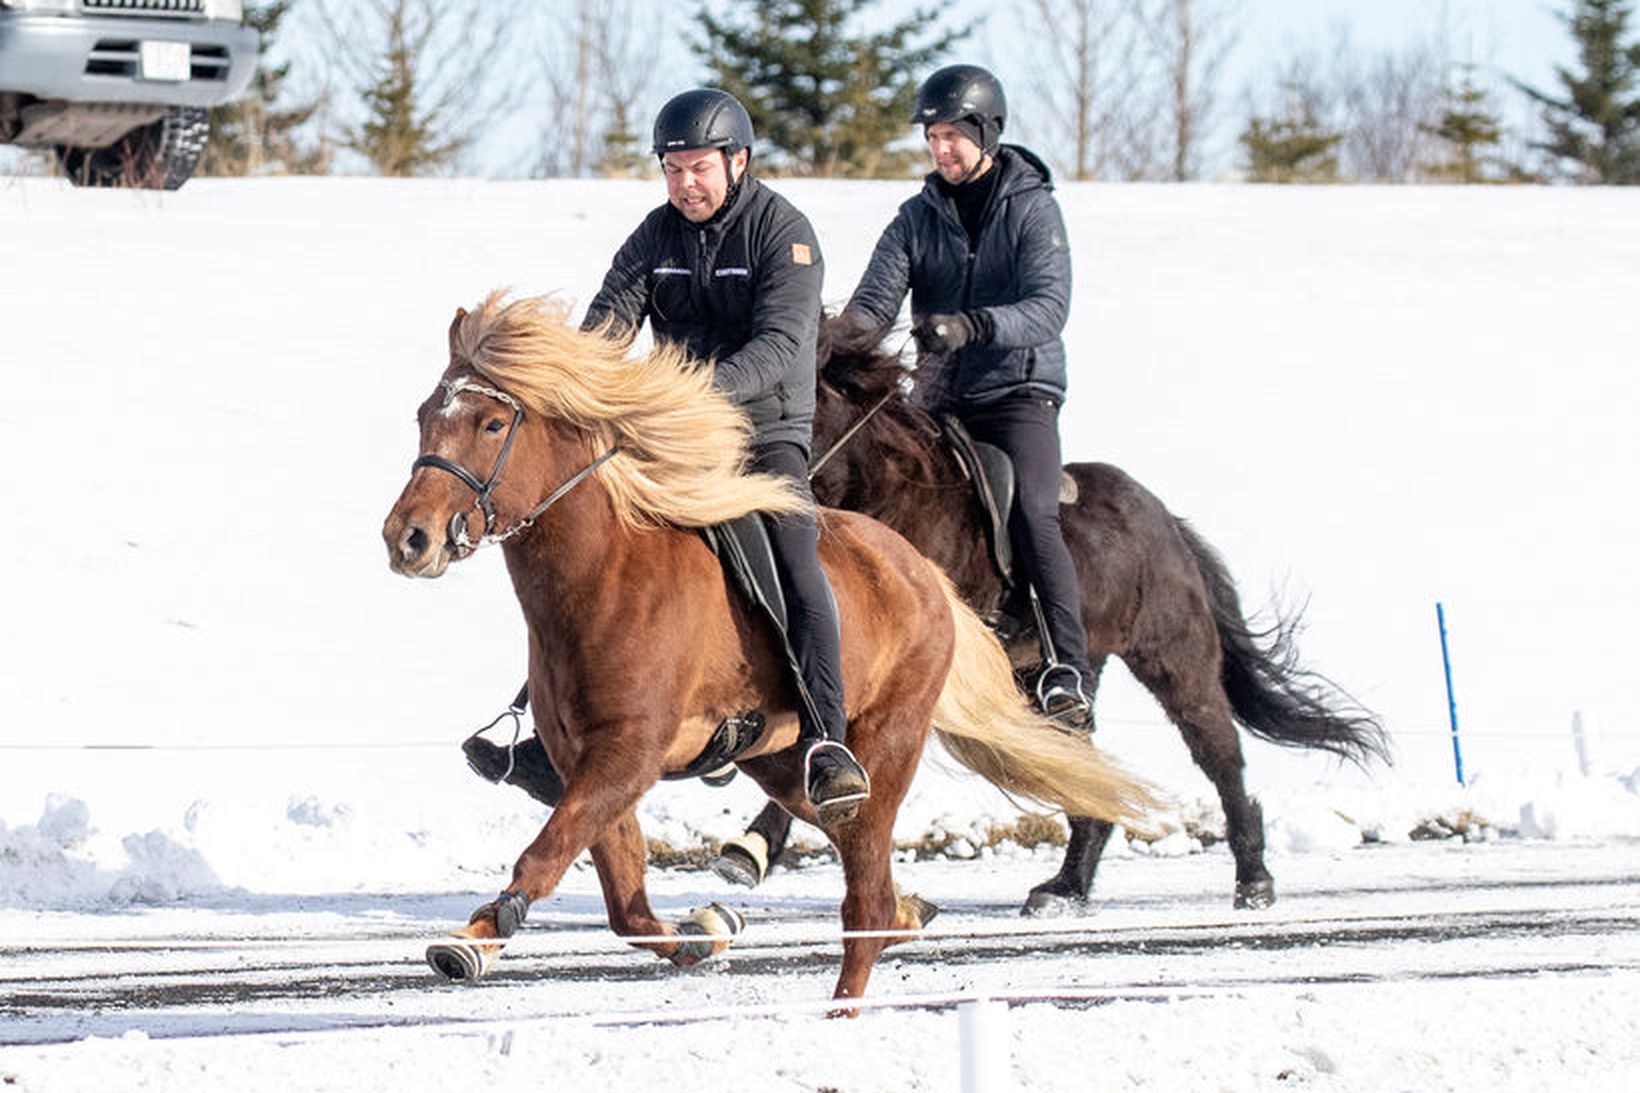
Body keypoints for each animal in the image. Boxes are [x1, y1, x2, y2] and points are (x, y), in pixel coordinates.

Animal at [383, 292, 1154, 1004]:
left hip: (886, 743)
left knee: (866, 897)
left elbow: (545, 856)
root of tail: (924, 573)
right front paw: (710, 926)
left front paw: (473, 939)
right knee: (862, 867)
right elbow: (629, 907)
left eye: (491, 421)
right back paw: (905, 911)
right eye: (423, 415)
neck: (608, 576)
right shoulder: (589, 763)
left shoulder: (626, 755)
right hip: (782, 762)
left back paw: (845, 1009)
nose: (408, 538)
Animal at [718, 315, 1384, 912]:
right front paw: (751, 848)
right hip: (1062, 673)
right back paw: (1066, 886)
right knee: (1086, 766)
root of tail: (1165, 520)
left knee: (1219, 752)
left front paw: (754, 845)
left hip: (1175, 659)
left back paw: (1253, 878)